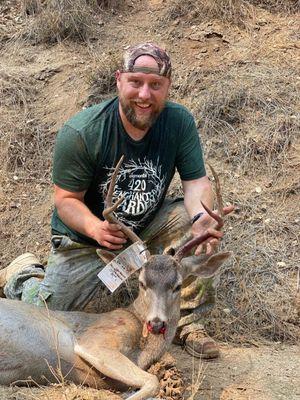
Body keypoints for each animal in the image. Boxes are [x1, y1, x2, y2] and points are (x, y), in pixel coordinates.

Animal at [0, 157, 232, 400]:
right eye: (142, 283)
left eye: (177, 286)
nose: (156, 323)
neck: (142, 349)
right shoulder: (95, 341)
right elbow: (152, 380)